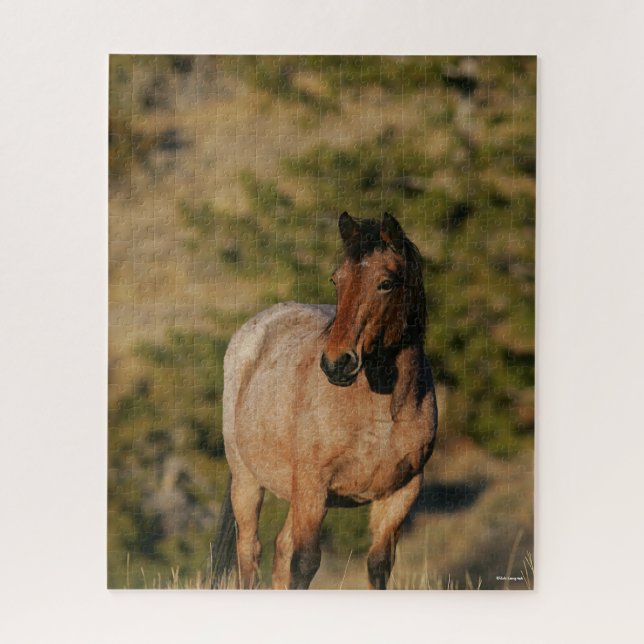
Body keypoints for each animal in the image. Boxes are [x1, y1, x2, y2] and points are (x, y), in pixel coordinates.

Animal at [211, 211, 438, 589]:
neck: (380, 413)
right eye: (336, 280)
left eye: (386, 283)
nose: (337, 363)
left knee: (280, 549)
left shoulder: (401, 493)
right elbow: (305, 563)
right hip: (248, 480)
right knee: (251, 551)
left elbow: (378, 566)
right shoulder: (314, 487)